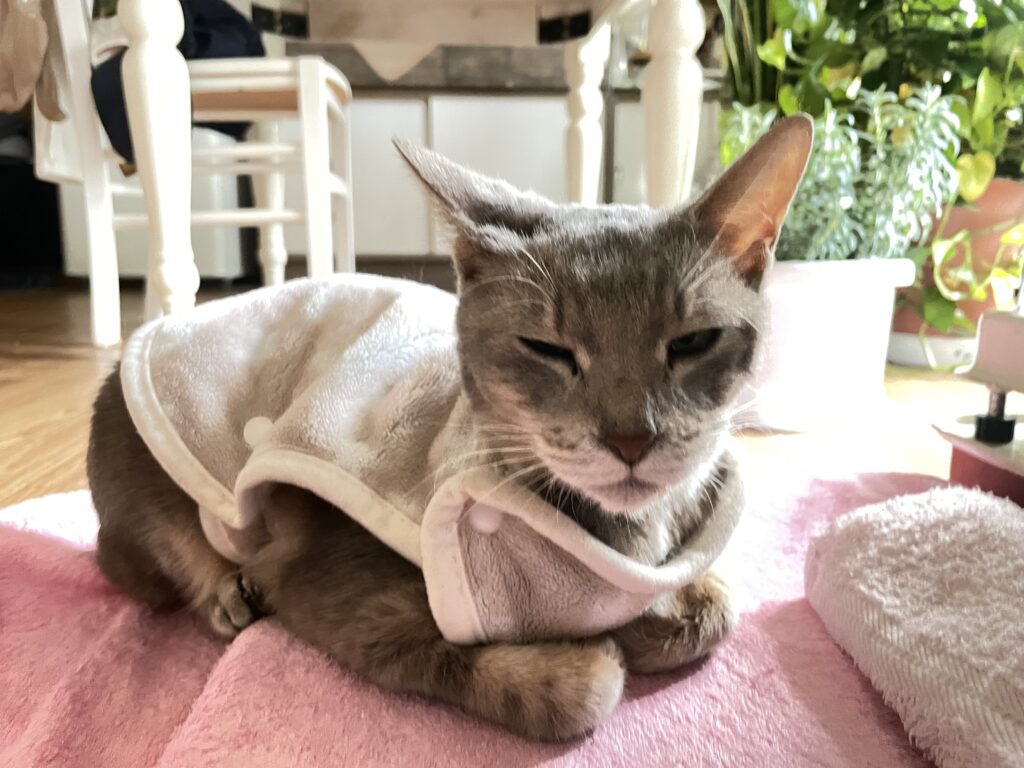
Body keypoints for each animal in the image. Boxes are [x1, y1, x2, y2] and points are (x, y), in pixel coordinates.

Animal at [87, 114, 811, 741]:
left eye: (693, 342)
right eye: (546, 348)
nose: (630, 439)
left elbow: (716, 604)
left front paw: (661, 609)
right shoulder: (337, 588)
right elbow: (566, 684)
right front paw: (599, 644)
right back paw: (223, 592)